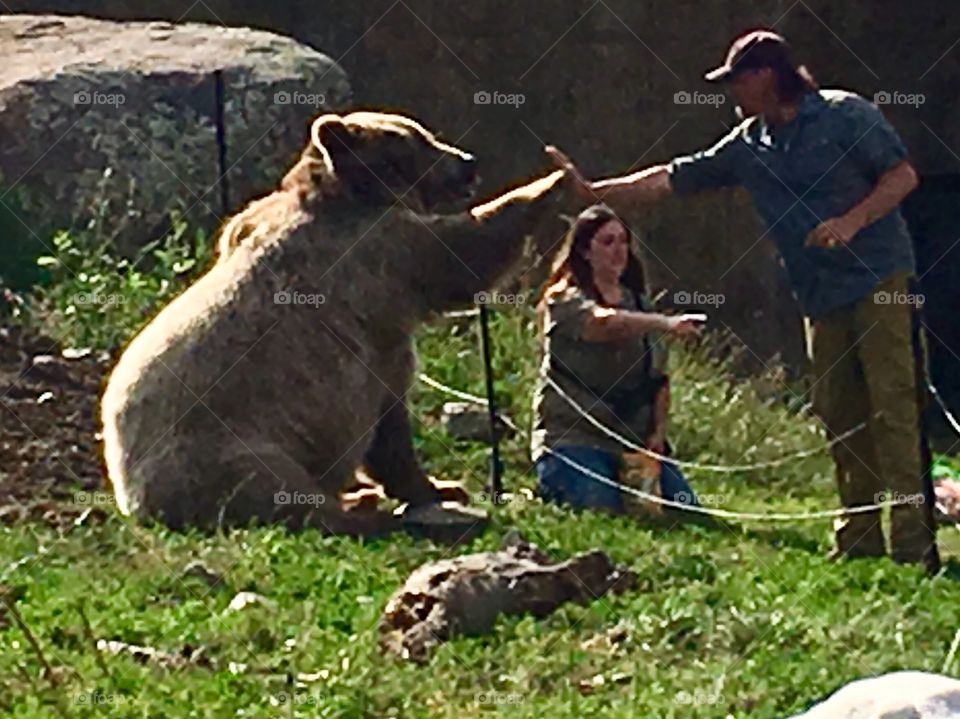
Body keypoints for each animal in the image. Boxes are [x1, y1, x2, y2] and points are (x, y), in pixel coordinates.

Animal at [101, 110, 571, 537]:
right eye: (418, 139)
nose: (467, 161)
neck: (347, 194)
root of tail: (133, 499)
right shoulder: (377, 258)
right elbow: (459, 257)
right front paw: (552, 180)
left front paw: (438, 487)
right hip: (230, 449)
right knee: (279, 489)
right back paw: (359, 512)